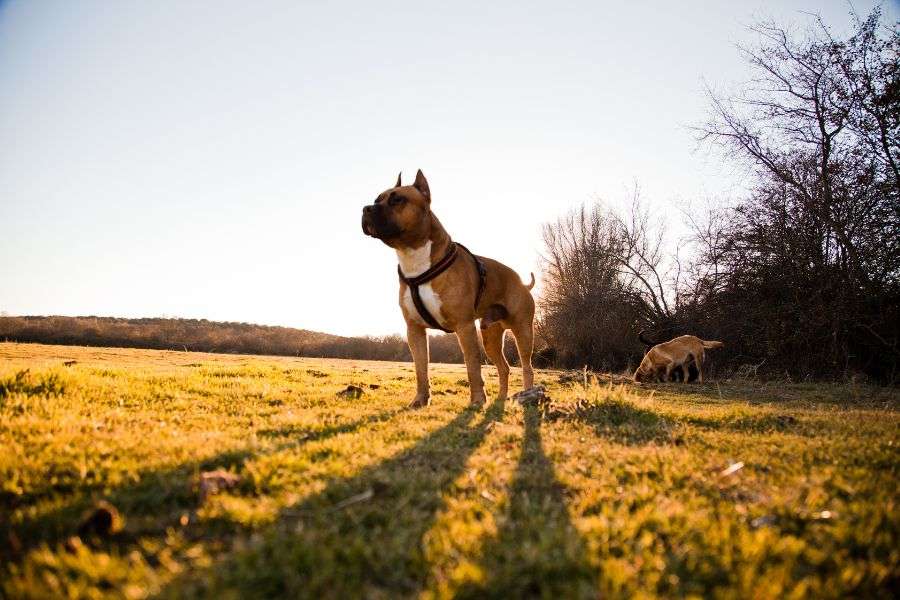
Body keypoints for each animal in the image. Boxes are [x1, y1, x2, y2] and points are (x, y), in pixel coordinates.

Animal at [364, 171, 536, 410]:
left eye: (397, 200)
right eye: (376, 199)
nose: (366, 209)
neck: (415, 260)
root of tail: (521, 282)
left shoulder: (464, 327)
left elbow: (472, 367)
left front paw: (477, 400)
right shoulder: (414, 330)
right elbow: (421, 369)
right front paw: (420, 400)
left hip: (523, 331)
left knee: (527, 366)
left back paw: (528, 395)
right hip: (490, 336)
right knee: (504, 367)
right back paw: (501, 399)